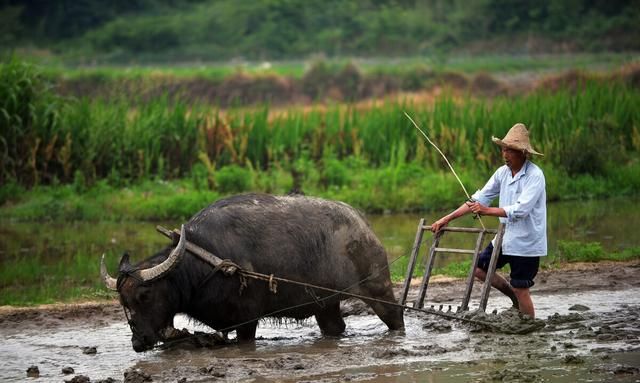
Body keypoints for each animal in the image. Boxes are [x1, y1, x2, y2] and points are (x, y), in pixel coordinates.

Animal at [100, 194, 402, 352]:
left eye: (145, 295)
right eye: (123, 301)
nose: (138, 342)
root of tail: (363, 225)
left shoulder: (247, 320)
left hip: (378, 289)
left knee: (396, 317)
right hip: (325, 305)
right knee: (334, 327)